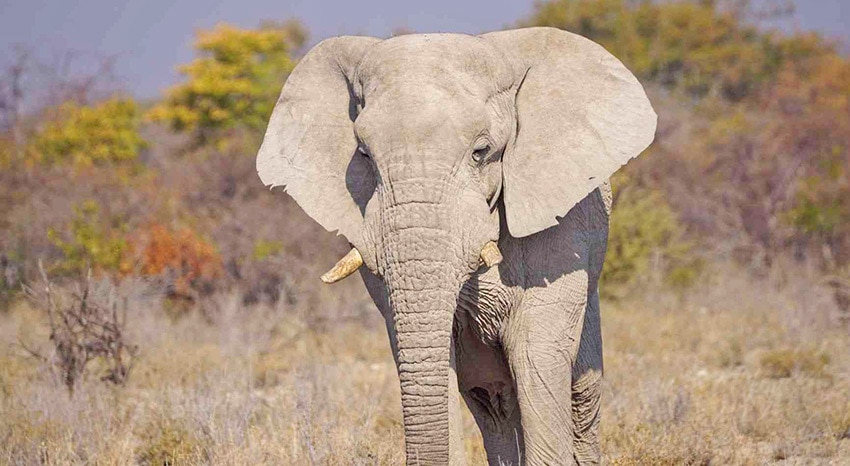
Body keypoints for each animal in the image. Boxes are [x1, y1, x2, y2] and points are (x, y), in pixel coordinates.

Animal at [256, 27, 656, 465]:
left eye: (481, 152)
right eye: (364, 155)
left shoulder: (563, 226)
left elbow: (535, 353)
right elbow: (426, 356)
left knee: (580, 393)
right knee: (493, 401)